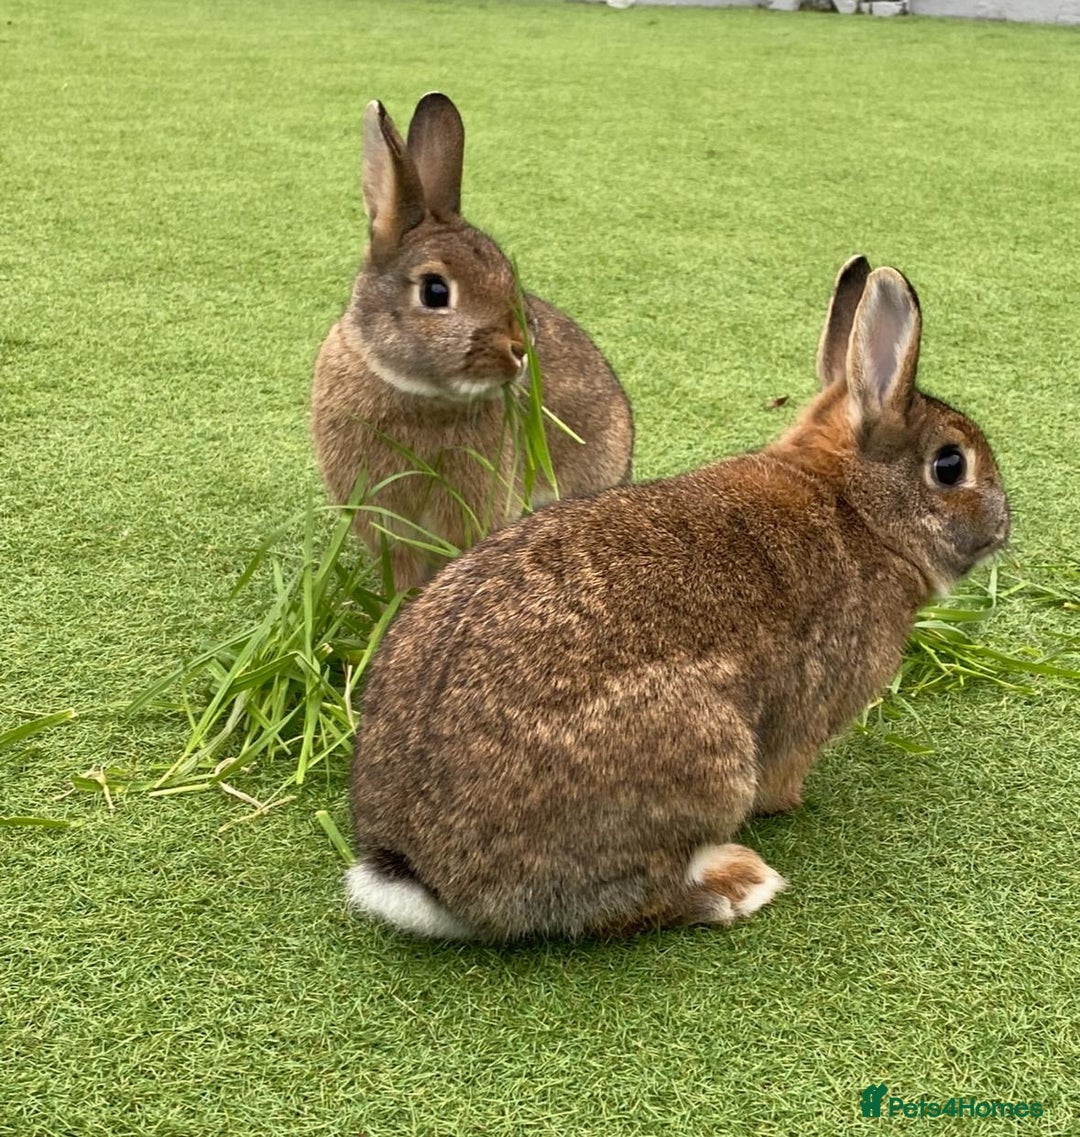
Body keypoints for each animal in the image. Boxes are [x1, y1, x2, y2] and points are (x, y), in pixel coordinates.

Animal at [344, 257, 1011, 942]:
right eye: (951, 466)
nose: (1002, 528)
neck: (857, 508)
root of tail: (425, 877)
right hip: (707, 756)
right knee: (640, 898)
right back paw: (736, 884)